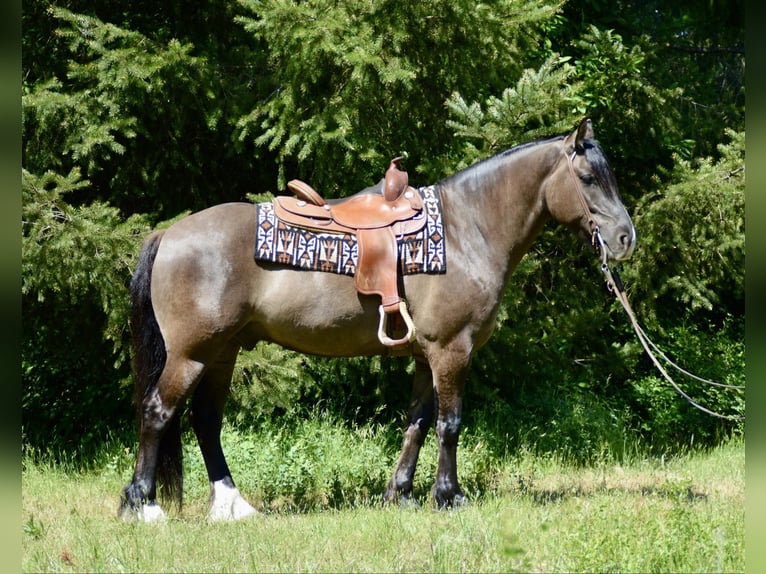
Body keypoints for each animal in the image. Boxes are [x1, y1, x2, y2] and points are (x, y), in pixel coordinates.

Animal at [118, 119, 636, 524]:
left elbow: (418, 423)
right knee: (159, 412)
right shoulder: (453, 350)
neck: (467, 230)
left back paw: (232, 506)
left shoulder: (428, 355)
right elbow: (450, 423)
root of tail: (169, 233)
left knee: (205, 421)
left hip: (222, 352)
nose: (625, 239)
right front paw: (449, 496)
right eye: (588, 177)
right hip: (192, 353)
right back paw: (143, 505)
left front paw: (400, 493)